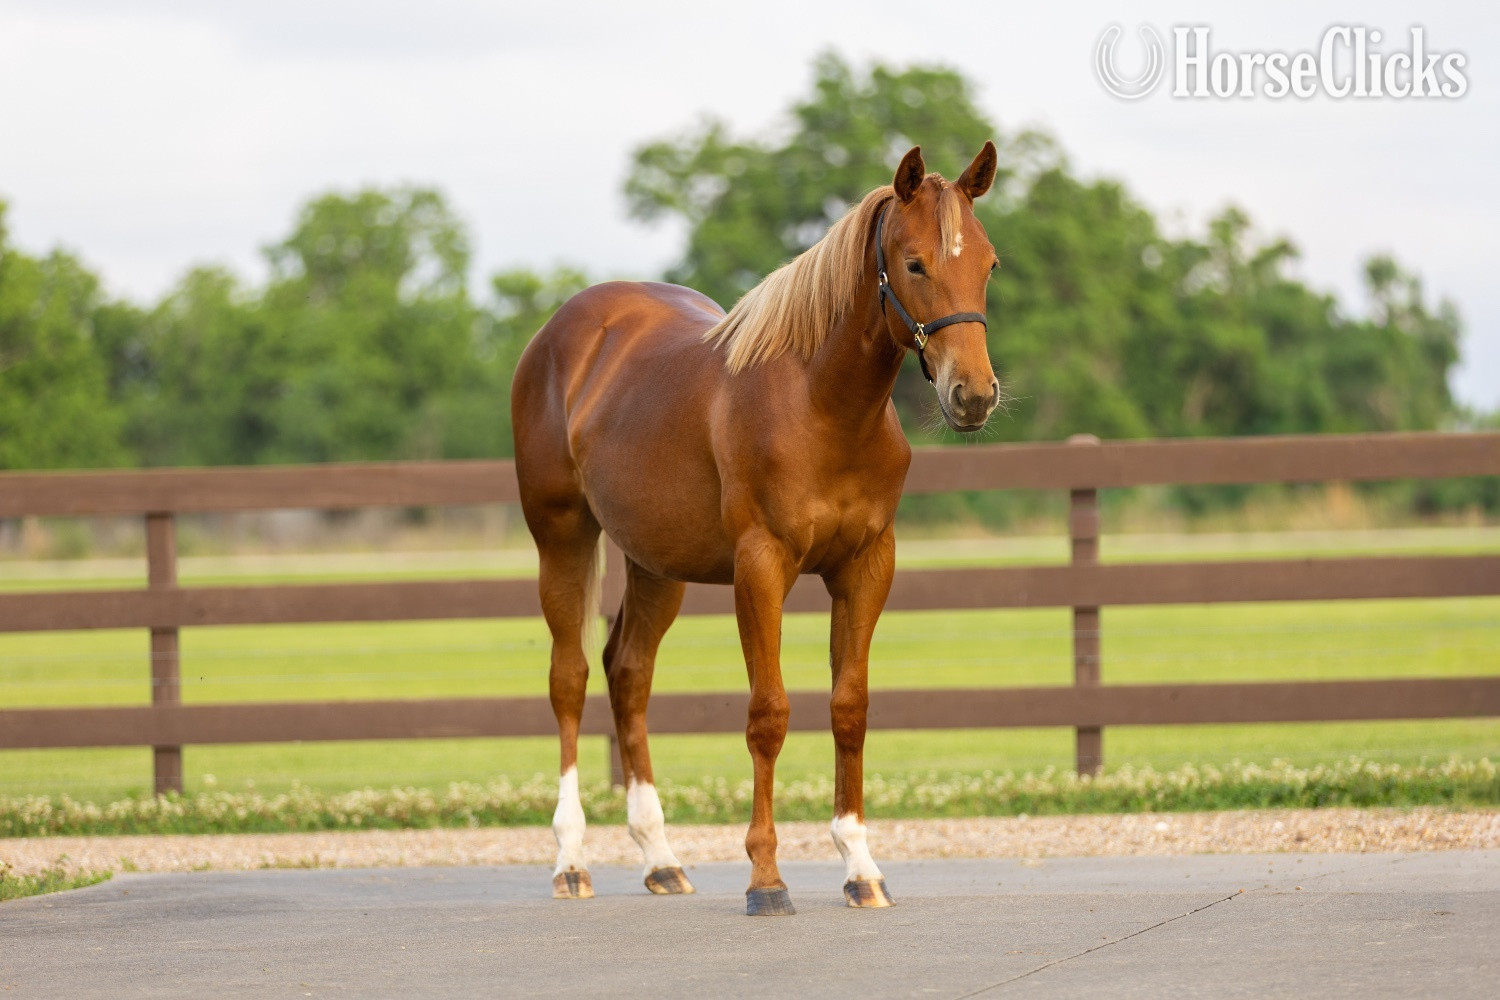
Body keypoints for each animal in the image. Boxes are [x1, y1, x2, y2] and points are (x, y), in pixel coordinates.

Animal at [511, 142, 1001, 915]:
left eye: (988, 263)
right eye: (915, 263)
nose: (973, 395)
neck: (820, 404)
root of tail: (563, 331)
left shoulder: (867, 566)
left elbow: (849, 708)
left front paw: (860, 867)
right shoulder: (761, 567)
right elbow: (768, 715)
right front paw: (766, 878)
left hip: (655, 562)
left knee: (629, 674)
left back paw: (661, 858)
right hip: (561, 536)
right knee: (570, 678)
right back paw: (570, 860)